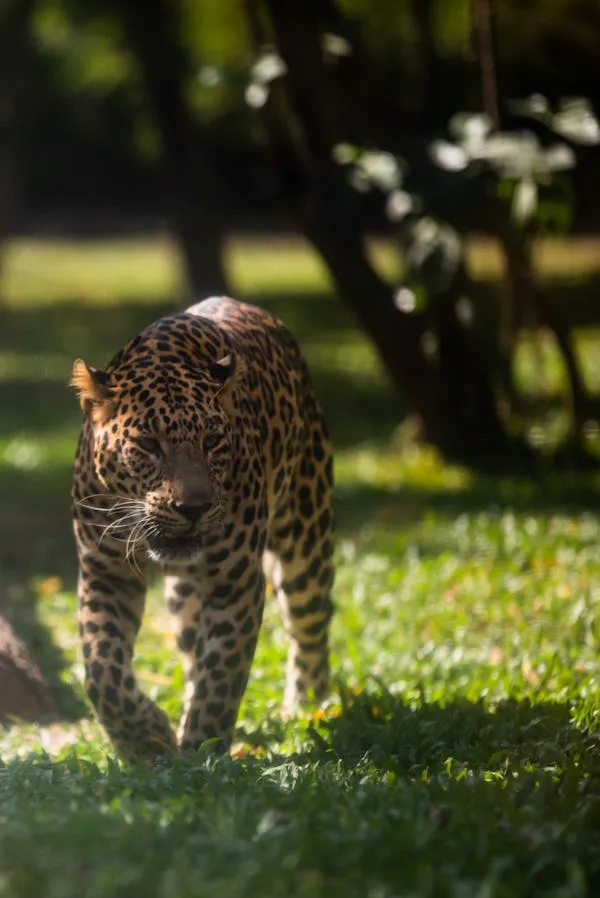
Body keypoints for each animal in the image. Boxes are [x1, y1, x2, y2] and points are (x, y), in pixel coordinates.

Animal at [70, 296, 335, 762]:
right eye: (149, 445)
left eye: (212, 442)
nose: (193, 508)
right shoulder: (104, 570)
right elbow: (101, 671)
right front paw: (147, 741)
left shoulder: (236, 581)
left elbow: (223, 671)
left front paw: (202, 753)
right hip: (184, 600)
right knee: (194, 650)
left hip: (306, 537)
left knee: (310, 627)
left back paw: (307, 707)